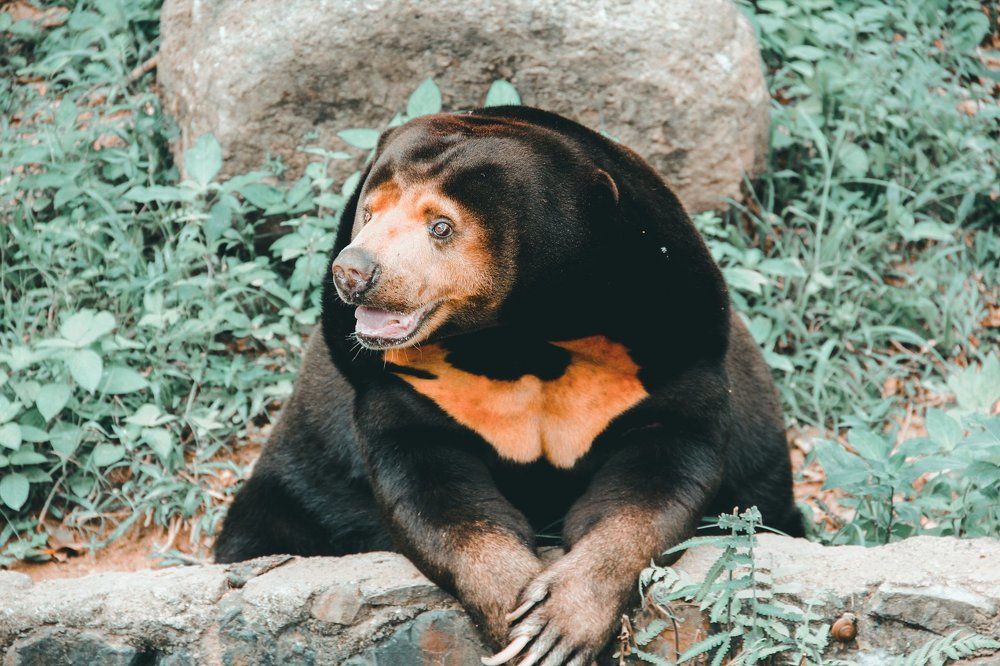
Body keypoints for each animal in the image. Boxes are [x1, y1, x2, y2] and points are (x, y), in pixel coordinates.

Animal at [214, 105, 803, 665]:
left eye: (441, 226)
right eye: (369, 211)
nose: (352, 272)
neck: (518, 337)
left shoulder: (671, 350)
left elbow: (662, 470)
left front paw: (557, 626)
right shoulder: (401, 386)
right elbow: (429, 486)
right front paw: (516, 619)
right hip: (304, 481)